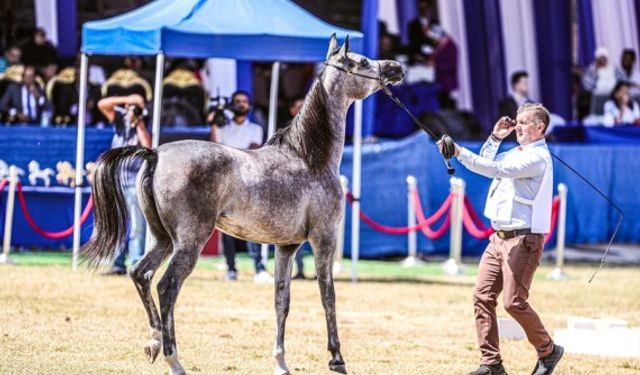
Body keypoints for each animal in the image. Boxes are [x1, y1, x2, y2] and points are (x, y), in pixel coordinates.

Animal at [84, 36, 404, 375]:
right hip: (189, 243)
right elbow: (327, 294)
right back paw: (174, 360)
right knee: (167, 287)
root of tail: (155, 153)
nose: (396, 68)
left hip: (163, 239)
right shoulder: (323, 238)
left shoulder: (286, 247)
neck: (308, 159)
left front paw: (280, 362)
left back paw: (154, 343)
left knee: (140, 274)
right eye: (362, 61)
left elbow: (281, 300)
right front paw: (336, 358)